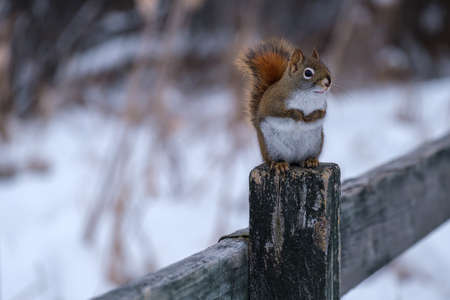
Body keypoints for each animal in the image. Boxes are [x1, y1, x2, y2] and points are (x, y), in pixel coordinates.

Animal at [237, 39, 332, 173]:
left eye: (326, 67)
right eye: (308, 73)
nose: (328, 82)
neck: (307, 95)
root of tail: (293, 160)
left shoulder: (323, 106)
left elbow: (321, 114)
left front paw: (310, 117)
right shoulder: (273, 104)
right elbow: (283, 112)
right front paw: (298, 115)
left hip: (315, 143)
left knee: (306, 157)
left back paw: (310, 160)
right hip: (271, 146)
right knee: (274, 159)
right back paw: (280, 164)